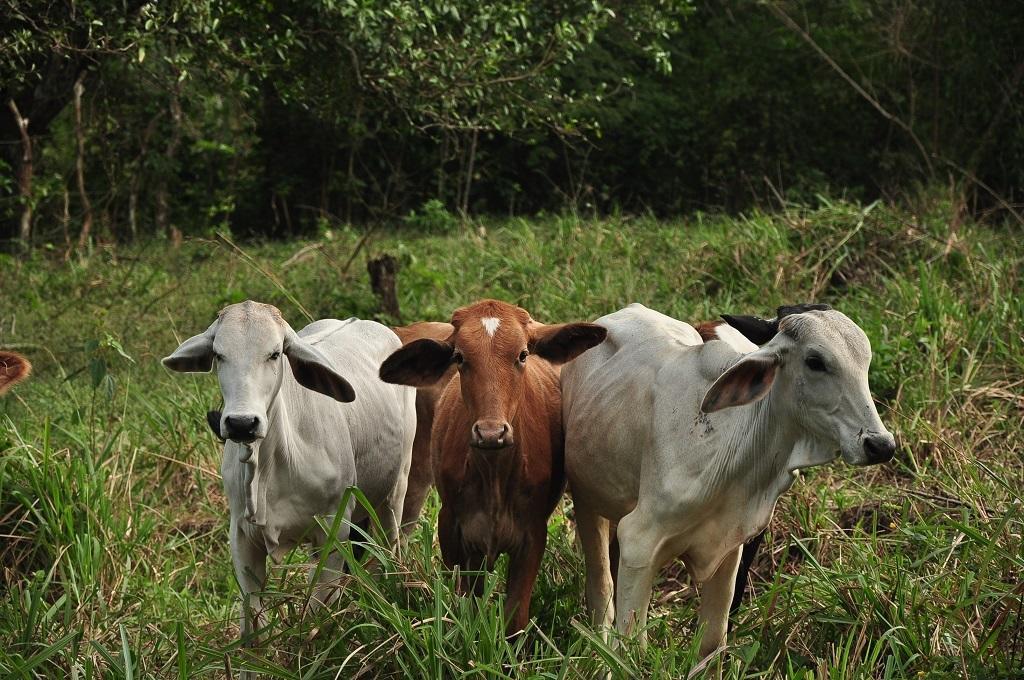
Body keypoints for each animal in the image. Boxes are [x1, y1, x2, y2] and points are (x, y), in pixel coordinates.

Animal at [161, 303, 413, 647]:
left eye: (275, 353)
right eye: (219, 354)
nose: (242, 423)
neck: (269, 470)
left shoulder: (333, 530)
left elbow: (315, 616)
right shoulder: (241, 536)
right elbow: (253, 622)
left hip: (396, 490)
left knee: (388, 549)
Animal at [385, 301, 606, 634]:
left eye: (523, 355)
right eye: (460, 357)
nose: (491, 432)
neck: (494, 474)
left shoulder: (532, 536)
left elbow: (515, 618)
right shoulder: (451, 527)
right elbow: (465, 609)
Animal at [561, 303, 897, 659]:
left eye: (865, 362)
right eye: (815, 361)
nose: (880, 445)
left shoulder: (730, 548)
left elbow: (712, 643)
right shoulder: (640, 541)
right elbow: (631, 648)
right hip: (587, 497)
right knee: (601, 584)